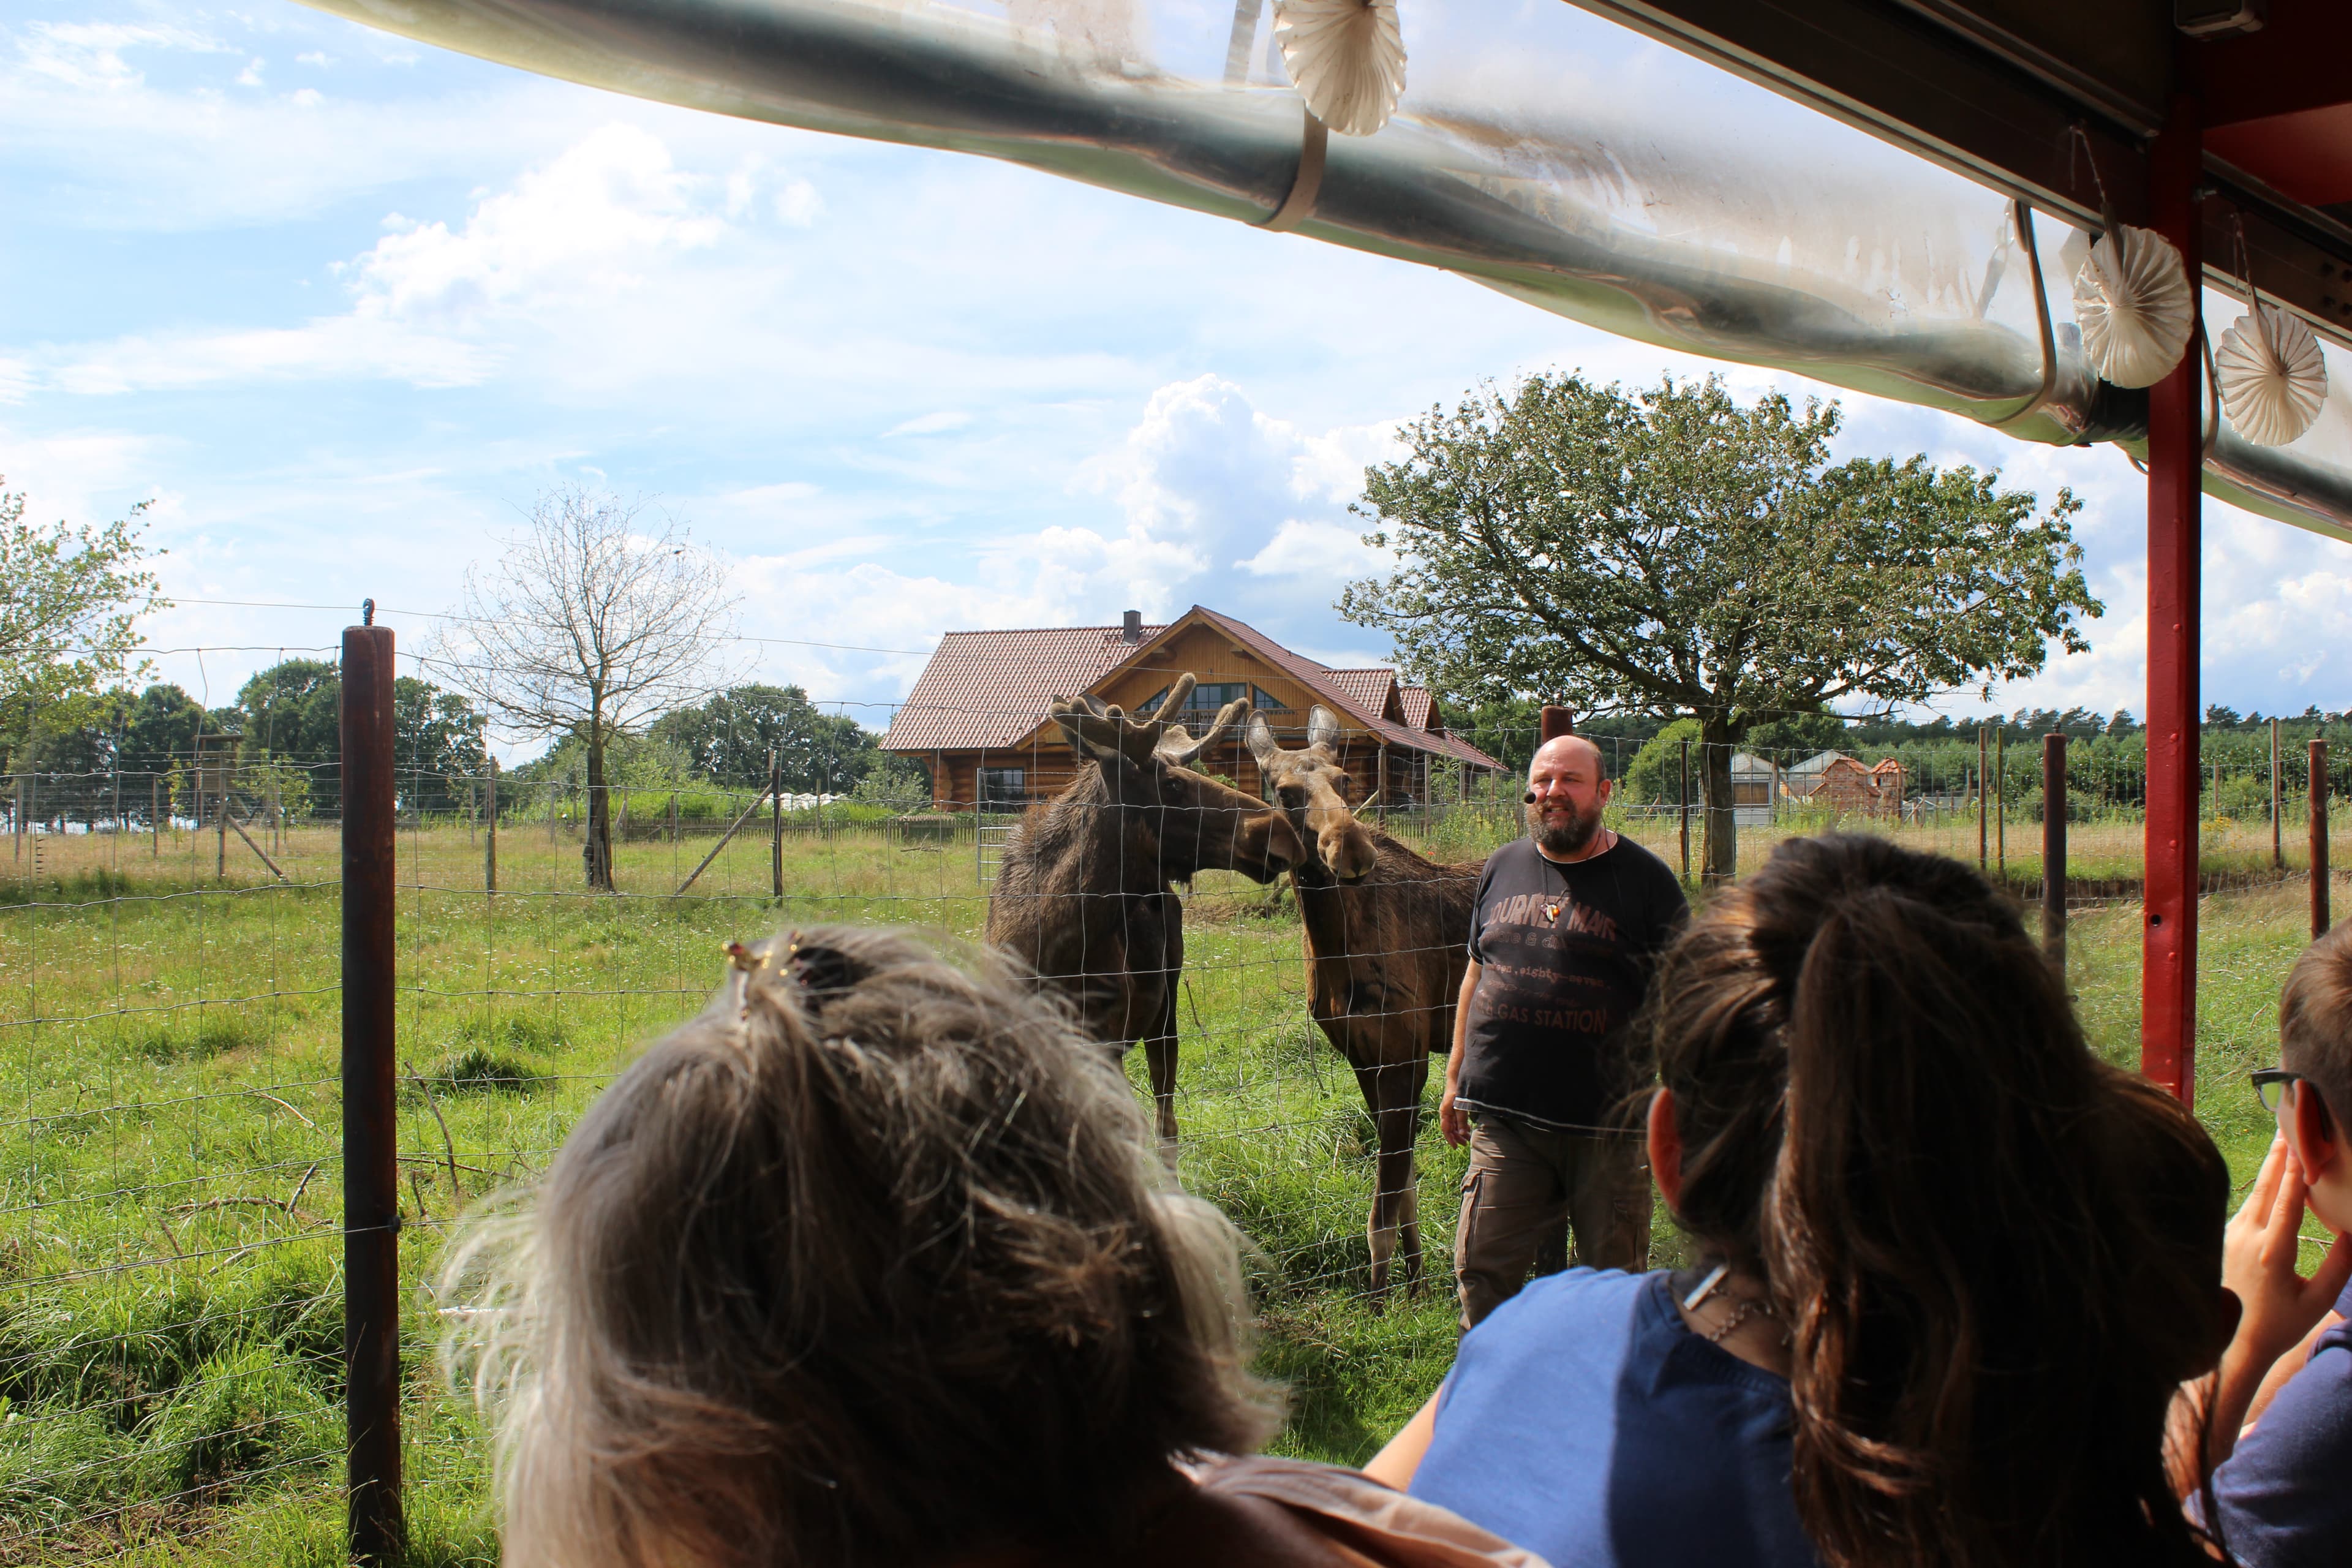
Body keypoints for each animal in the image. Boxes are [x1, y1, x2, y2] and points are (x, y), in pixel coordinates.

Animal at [978, 672, 1308, 1142]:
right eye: (1173, 785)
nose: (1283, 834)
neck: (1052, 952)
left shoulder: (1106, 1041)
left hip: (1165, 1010)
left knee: (1165, 1120)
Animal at [1242, 710, 1477, 1297]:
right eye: (1284, 792)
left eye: (1345, 779)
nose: (1350, 850)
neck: (1333, 947)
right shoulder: (1363, 1058)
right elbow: (1405, 1192)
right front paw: (1412, 1288)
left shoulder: (1407, 1054)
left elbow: (1382, 1209)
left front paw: (1380, 1300)